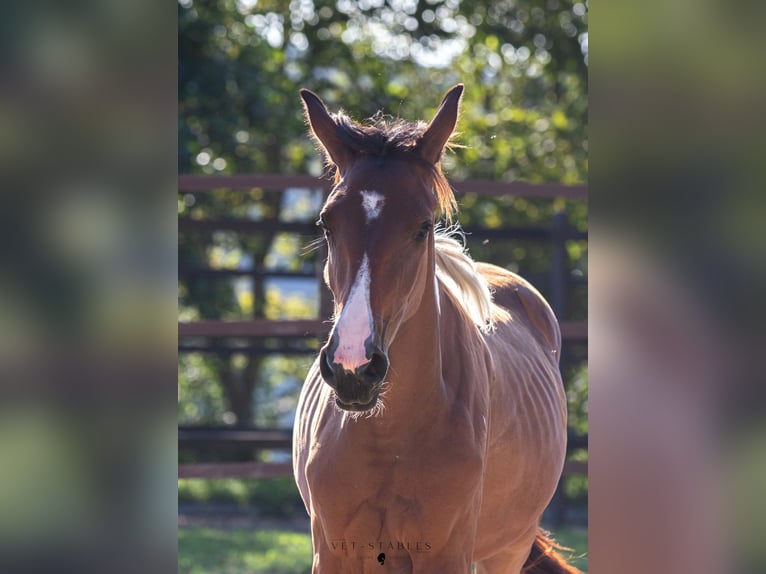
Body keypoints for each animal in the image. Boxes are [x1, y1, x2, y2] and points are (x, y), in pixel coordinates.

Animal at [292, 84, 579, 574]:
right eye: (326, 223)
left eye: (423, 226)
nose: (353, 366)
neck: (388, 438)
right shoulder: (332, 553)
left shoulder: (447, 554)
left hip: (507, 549)